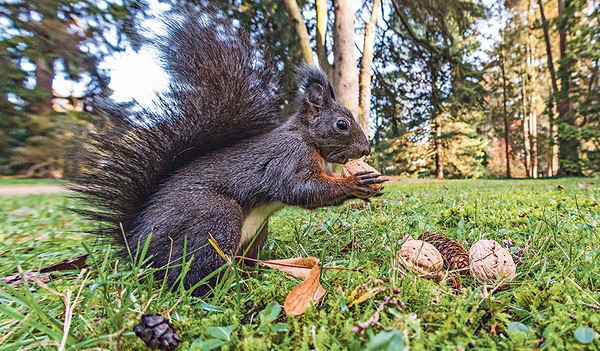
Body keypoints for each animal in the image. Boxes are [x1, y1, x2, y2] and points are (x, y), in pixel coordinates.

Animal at [70, 5, 386, 294]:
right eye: (342, 124)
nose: (366, 150)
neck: (306, 137)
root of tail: (137, 248)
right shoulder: (287, 157)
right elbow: (299, 188)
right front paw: (355, 183)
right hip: (215, 219)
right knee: (187, 277)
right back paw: (226, 288)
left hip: (256, 232)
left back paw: (253, 273)